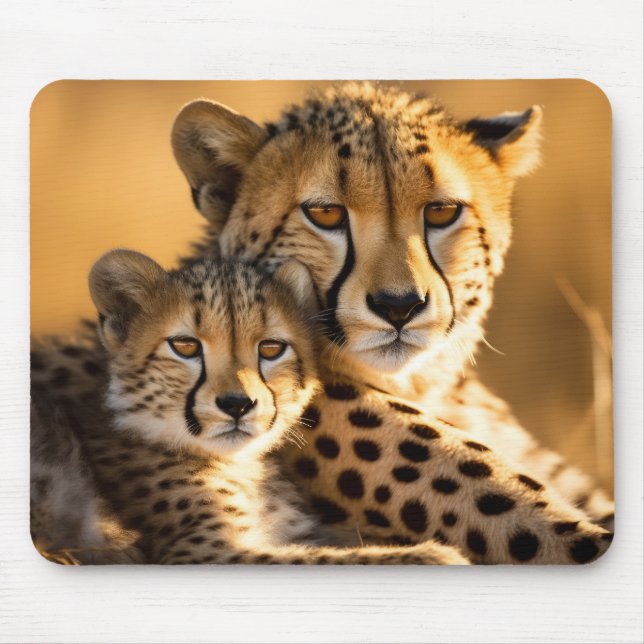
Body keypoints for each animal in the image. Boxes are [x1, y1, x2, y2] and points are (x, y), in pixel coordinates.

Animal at [31, 249, 468, 565]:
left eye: (271, 349)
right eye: (185, 346)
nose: (238, 404)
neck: (239, 465)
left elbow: (335, 544)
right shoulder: (205, 553)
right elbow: (325, 560)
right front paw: (432, 556)